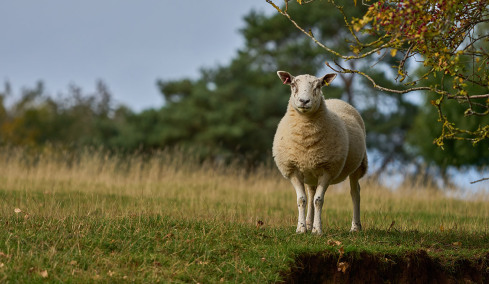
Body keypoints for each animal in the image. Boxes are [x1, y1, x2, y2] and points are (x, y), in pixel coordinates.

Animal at [270, 70, 366, 234]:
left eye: (319, 85)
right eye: (293, 84)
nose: (304, 101)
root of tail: (335, 100)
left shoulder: (328, 169)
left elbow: (318, 200)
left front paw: (317, 230)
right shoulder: (293, 169)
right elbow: (302, 199)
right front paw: (301, 228)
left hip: (358, 166)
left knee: (355, 193)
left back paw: (355, 227)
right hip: (309, 171)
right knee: (310, 192)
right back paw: (308, 223)